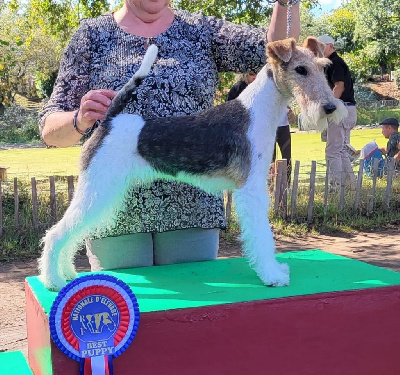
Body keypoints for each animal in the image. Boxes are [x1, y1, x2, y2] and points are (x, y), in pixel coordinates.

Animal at [39, 36, 348, 292]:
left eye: (323, 67)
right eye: (300, 69)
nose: (330, 108)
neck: (257, 112)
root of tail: (109, 121)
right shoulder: (250, 190)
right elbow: (261, 235)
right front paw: (272, 275)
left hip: (105, 191)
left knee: (71, 234)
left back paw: (67, 274)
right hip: (98, 189)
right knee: (56, 233)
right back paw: (53, 280)